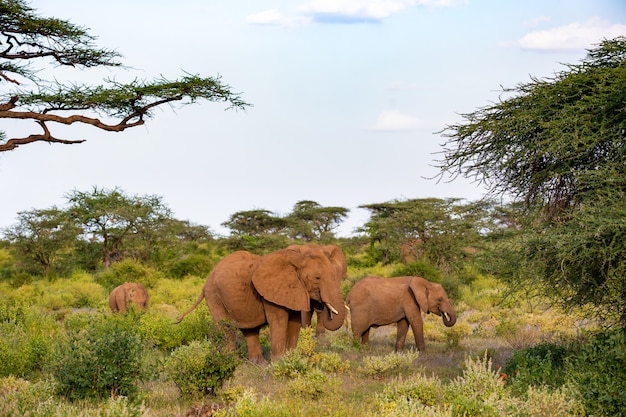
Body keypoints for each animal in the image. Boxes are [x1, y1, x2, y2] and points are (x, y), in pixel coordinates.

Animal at [174, 245, 346, 362]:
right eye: (317, 278)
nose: (322, 303)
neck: (297, 258)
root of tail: (206, 281)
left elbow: (294, 322)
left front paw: (290, 359)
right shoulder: (272, 293)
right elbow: (279, 322)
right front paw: (279, 364)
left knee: (249, 329)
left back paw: (258, 364)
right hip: (214, 295)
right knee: (225, 327)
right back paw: (232, 363)